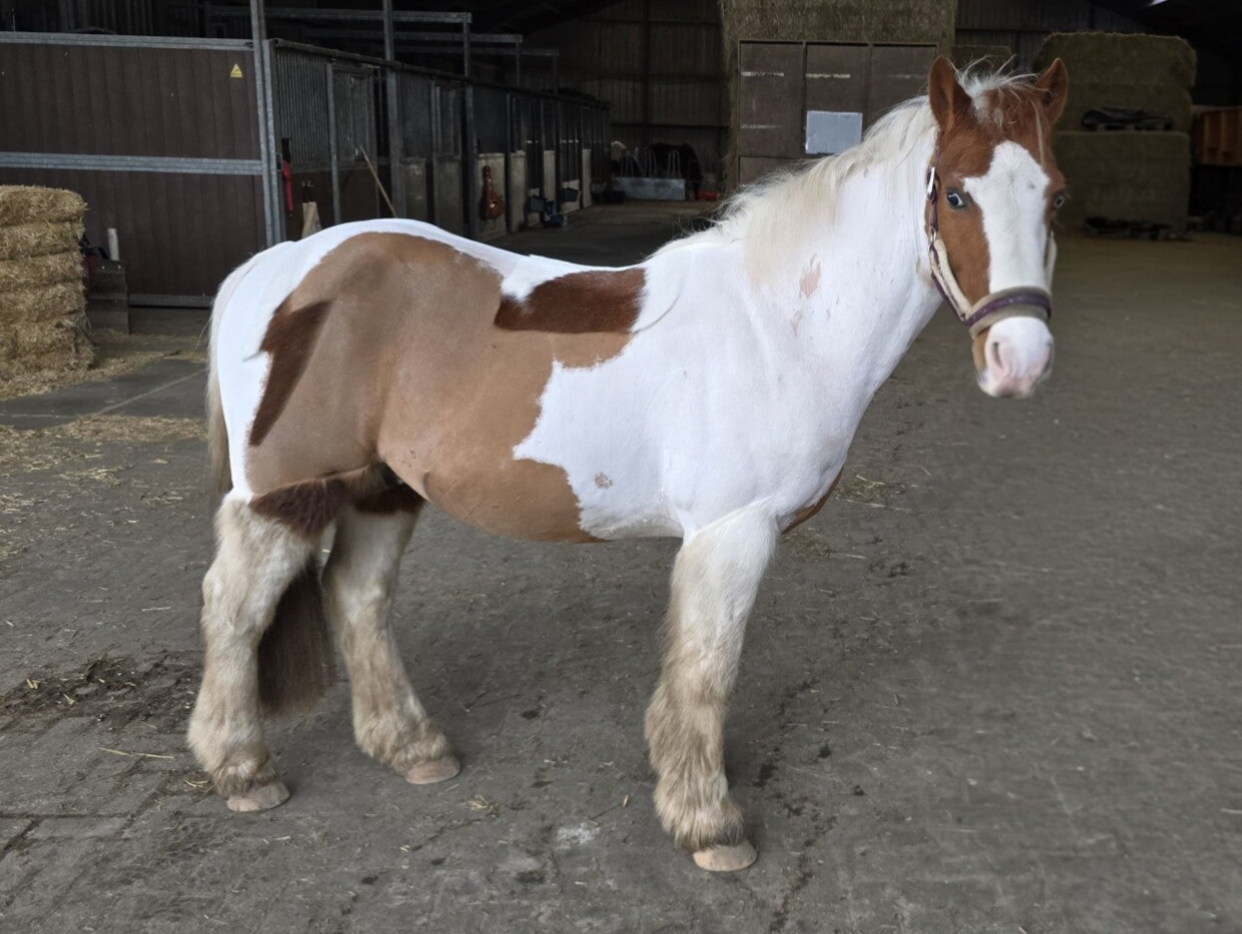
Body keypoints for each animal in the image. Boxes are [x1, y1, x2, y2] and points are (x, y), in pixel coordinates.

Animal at [188, 57, 1069, 872]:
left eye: (1054, 196)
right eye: (956, 196)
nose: (1020, 360)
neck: (777, 327)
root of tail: (275, 264)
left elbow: (694, 671)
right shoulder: (731, 531)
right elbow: (709, 669)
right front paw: (709, 822)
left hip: (381, 487)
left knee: (358, 598)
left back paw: (412, 748)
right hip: (288, 494)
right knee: (235, 608)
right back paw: (243, 770)